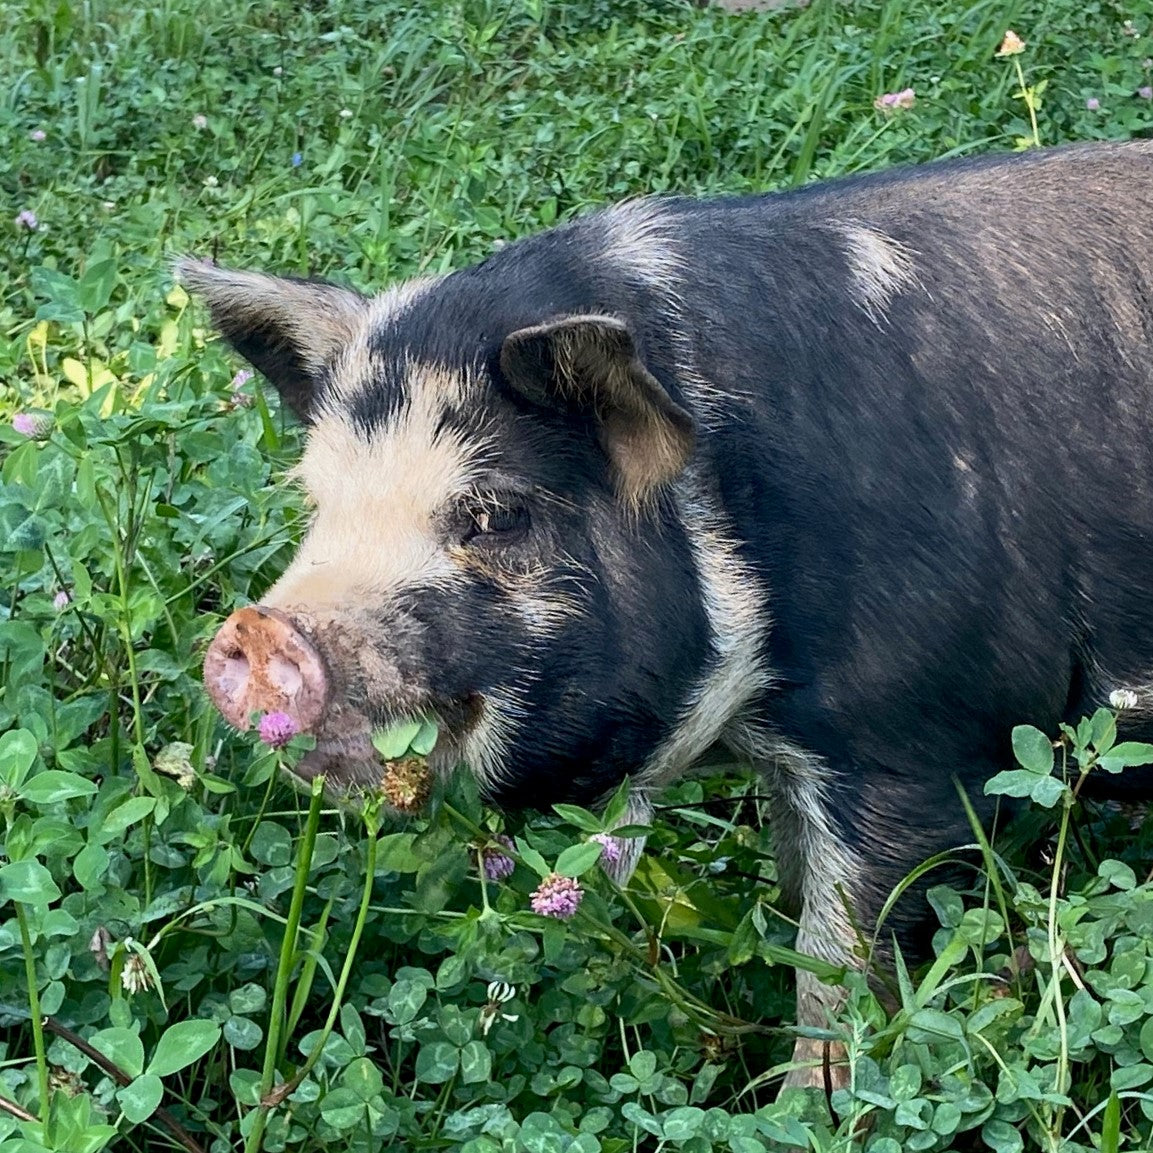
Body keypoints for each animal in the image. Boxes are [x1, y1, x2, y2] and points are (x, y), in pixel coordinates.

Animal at [182, 139, 1153, 1083]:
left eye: (495, 513)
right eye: (316, 503)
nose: (256, 629)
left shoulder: (912, 739)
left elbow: (842, 957)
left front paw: (805, 1102)